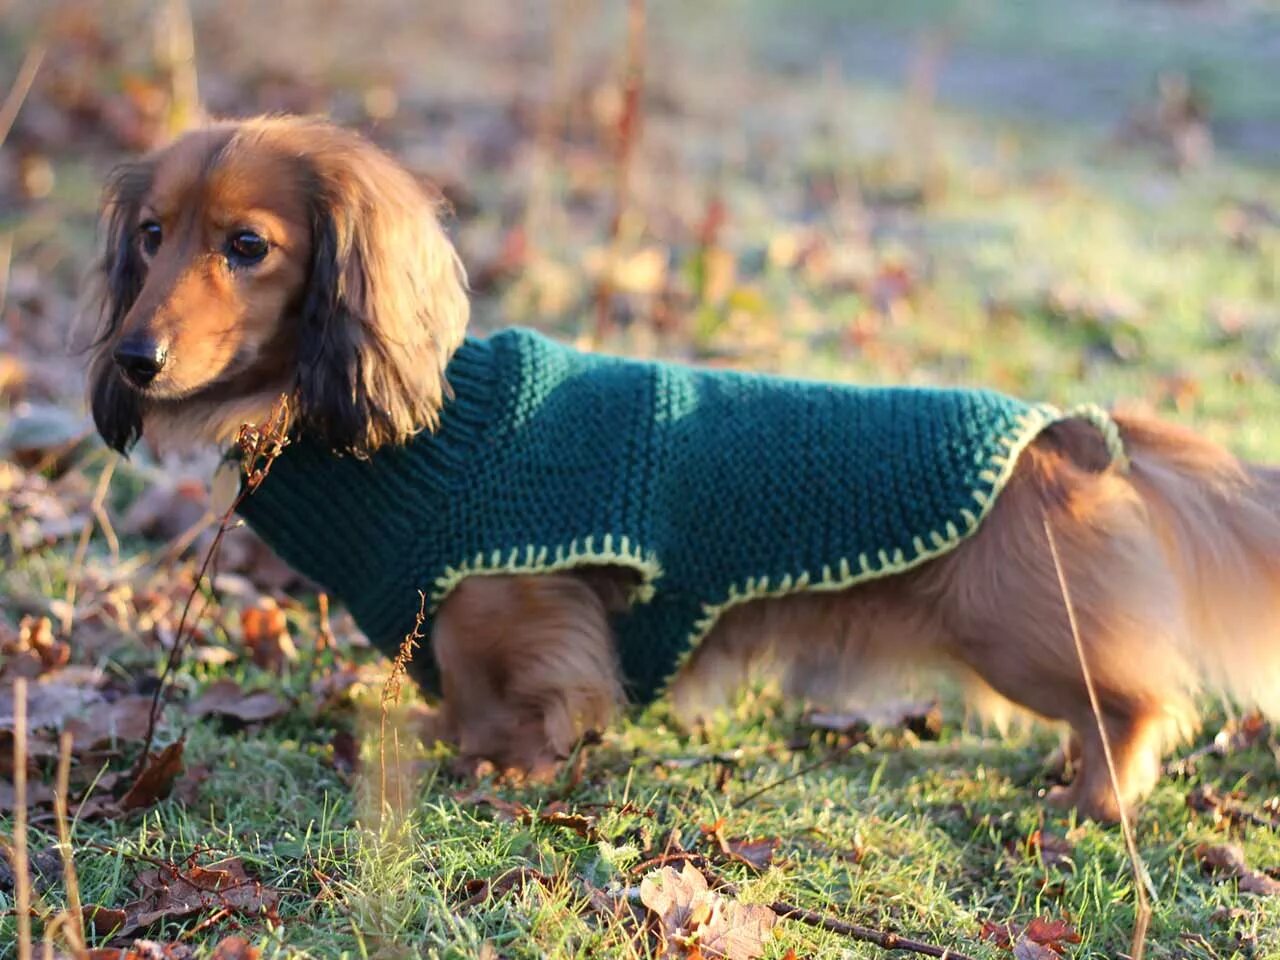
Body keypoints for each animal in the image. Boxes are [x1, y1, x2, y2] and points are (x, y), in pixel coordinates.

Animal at [85, 116, 1280, 824]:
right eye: (151, 235)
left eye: (247, 246)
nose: (134, 360)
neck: (413, 430)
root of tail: (1059, 433)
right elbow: (461, 695)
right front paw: (448, 745)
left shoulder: (516, 602)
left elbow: (524, 698)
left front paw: (500, 770)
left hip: (1021, 639)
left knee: (1136, 704)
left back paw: (1098, 799)